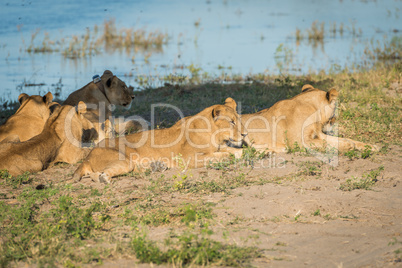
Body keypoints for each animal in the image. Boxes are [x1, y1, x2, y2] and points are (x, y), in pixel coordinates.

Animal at [72, 97, 248, 183]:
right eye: (231, 122)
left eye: (238, 119)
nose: (245, 134)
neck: (214, 134)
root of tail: (89, 156)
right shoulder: (188, 158)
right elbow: (225, 155)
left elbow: (234, 151)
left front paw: (241, 152)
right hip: (123, 161)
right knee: (97, 175)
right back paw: (105, 179)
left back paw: (156, 166)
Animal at [240, 85, 378, 154]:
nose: (334, 121)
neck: (312, 108)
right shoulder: (300, 141)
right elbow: (327, 144)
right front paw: (348, 146)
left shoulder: (319, 134)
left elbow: (345, 139)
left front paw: (371, 146)